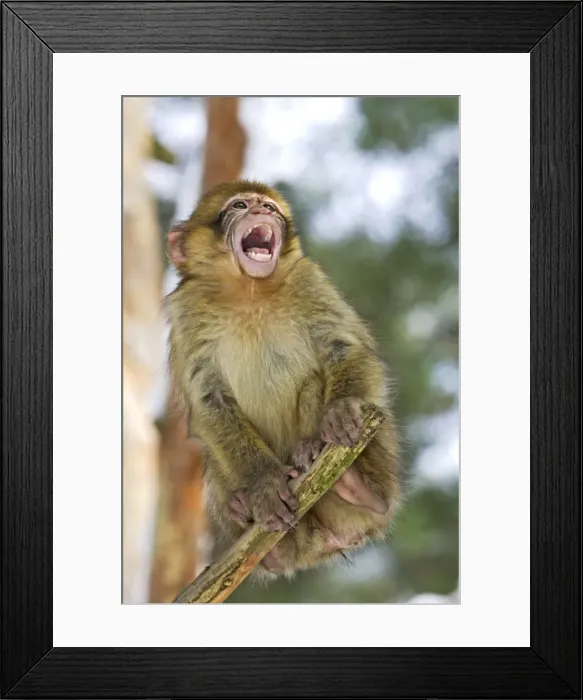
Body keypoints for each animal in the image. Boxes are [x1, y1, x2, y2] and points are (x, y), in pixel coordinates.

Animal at [166, 180, 402, 579]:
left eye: (271, 208)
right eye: (239, 206)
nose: (262, 211)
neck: (249, 292)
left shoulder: (309, 279)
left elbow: (345, 346)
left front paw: (341, 410)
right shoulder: (187, 310)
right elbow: (208, 399)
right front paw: (262, 484)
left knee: (314, 385)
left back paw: (355, 484)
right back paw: (258, 530)